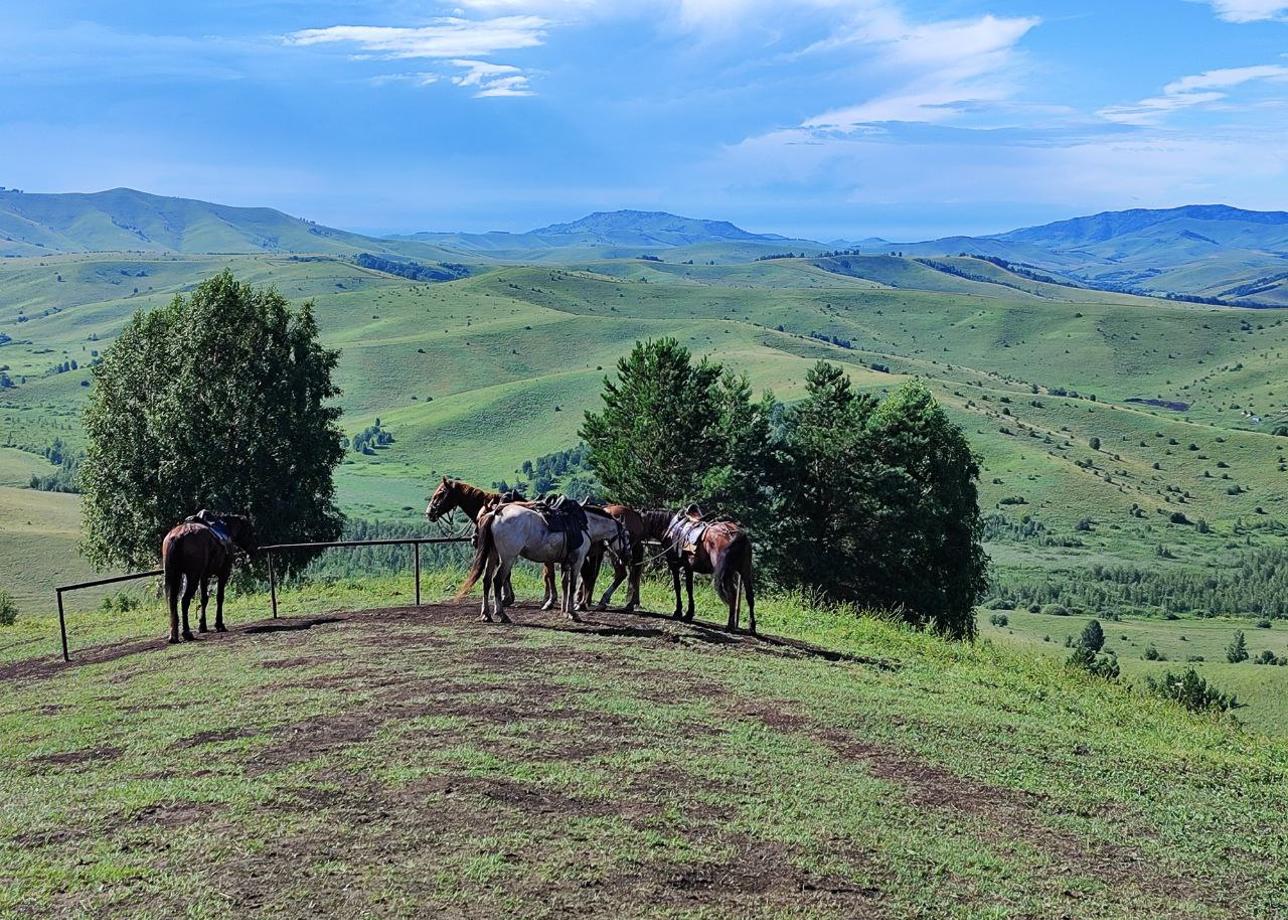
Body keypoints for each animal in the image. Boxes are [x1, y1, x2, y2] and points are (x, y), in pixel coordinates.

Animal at [161, 512, 256, 641]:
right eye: (249, 531)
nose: (254, 549)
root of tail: (178, 536)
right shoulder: (223, 573)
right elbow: (219, 597)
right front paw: (219, 625)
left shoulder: (204, 576)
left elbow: (204, 599)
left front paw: (203, 626)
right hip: (192, 576)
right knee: (184, 601)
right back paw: (186, 633)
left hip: (175, 575)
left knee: (173, 601)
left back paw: (173, 636)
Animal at [458, 502, 628, 623]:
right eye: (626, 535)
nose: (627, 555)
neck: (584, 525)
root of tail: (496, 514)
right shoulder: (577, 561)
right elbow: (572, 586)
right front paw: (573, 614)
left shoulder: (565, 563)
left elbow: (564, 584)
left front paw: (565, 612)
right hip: (507, 558)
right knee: (497, 580)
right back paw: (501, 614)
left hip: (493, 555)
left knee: (486, 580)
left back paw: (486, 614)